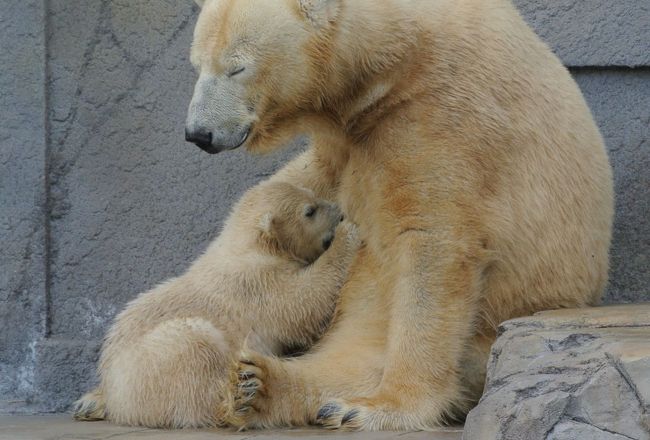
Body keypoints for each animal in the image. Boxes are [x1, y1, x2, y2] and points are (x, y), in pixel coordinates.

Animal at [73, 180, 362, 428]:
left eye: (313, 195)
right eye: (309, 211)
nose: (339, 212)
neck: (245, 245)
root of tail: (117, 399)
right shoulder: (254, 283)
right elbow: (303, 300)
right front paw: (349, 232)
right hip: (154, 364)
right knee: (196, 354)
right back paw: (240, 401)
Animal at [184, 0, 612, 430]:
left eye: (236, 67)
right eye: (197, 64)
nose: (197, 133)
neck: (397, 57)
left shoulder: (443, 113)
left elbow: (433, 240)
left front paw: (389, 406)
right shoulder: (351, 135)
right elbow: (314, 174)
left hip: (485, 334)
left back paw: (344, 404)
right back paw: (255, 385)